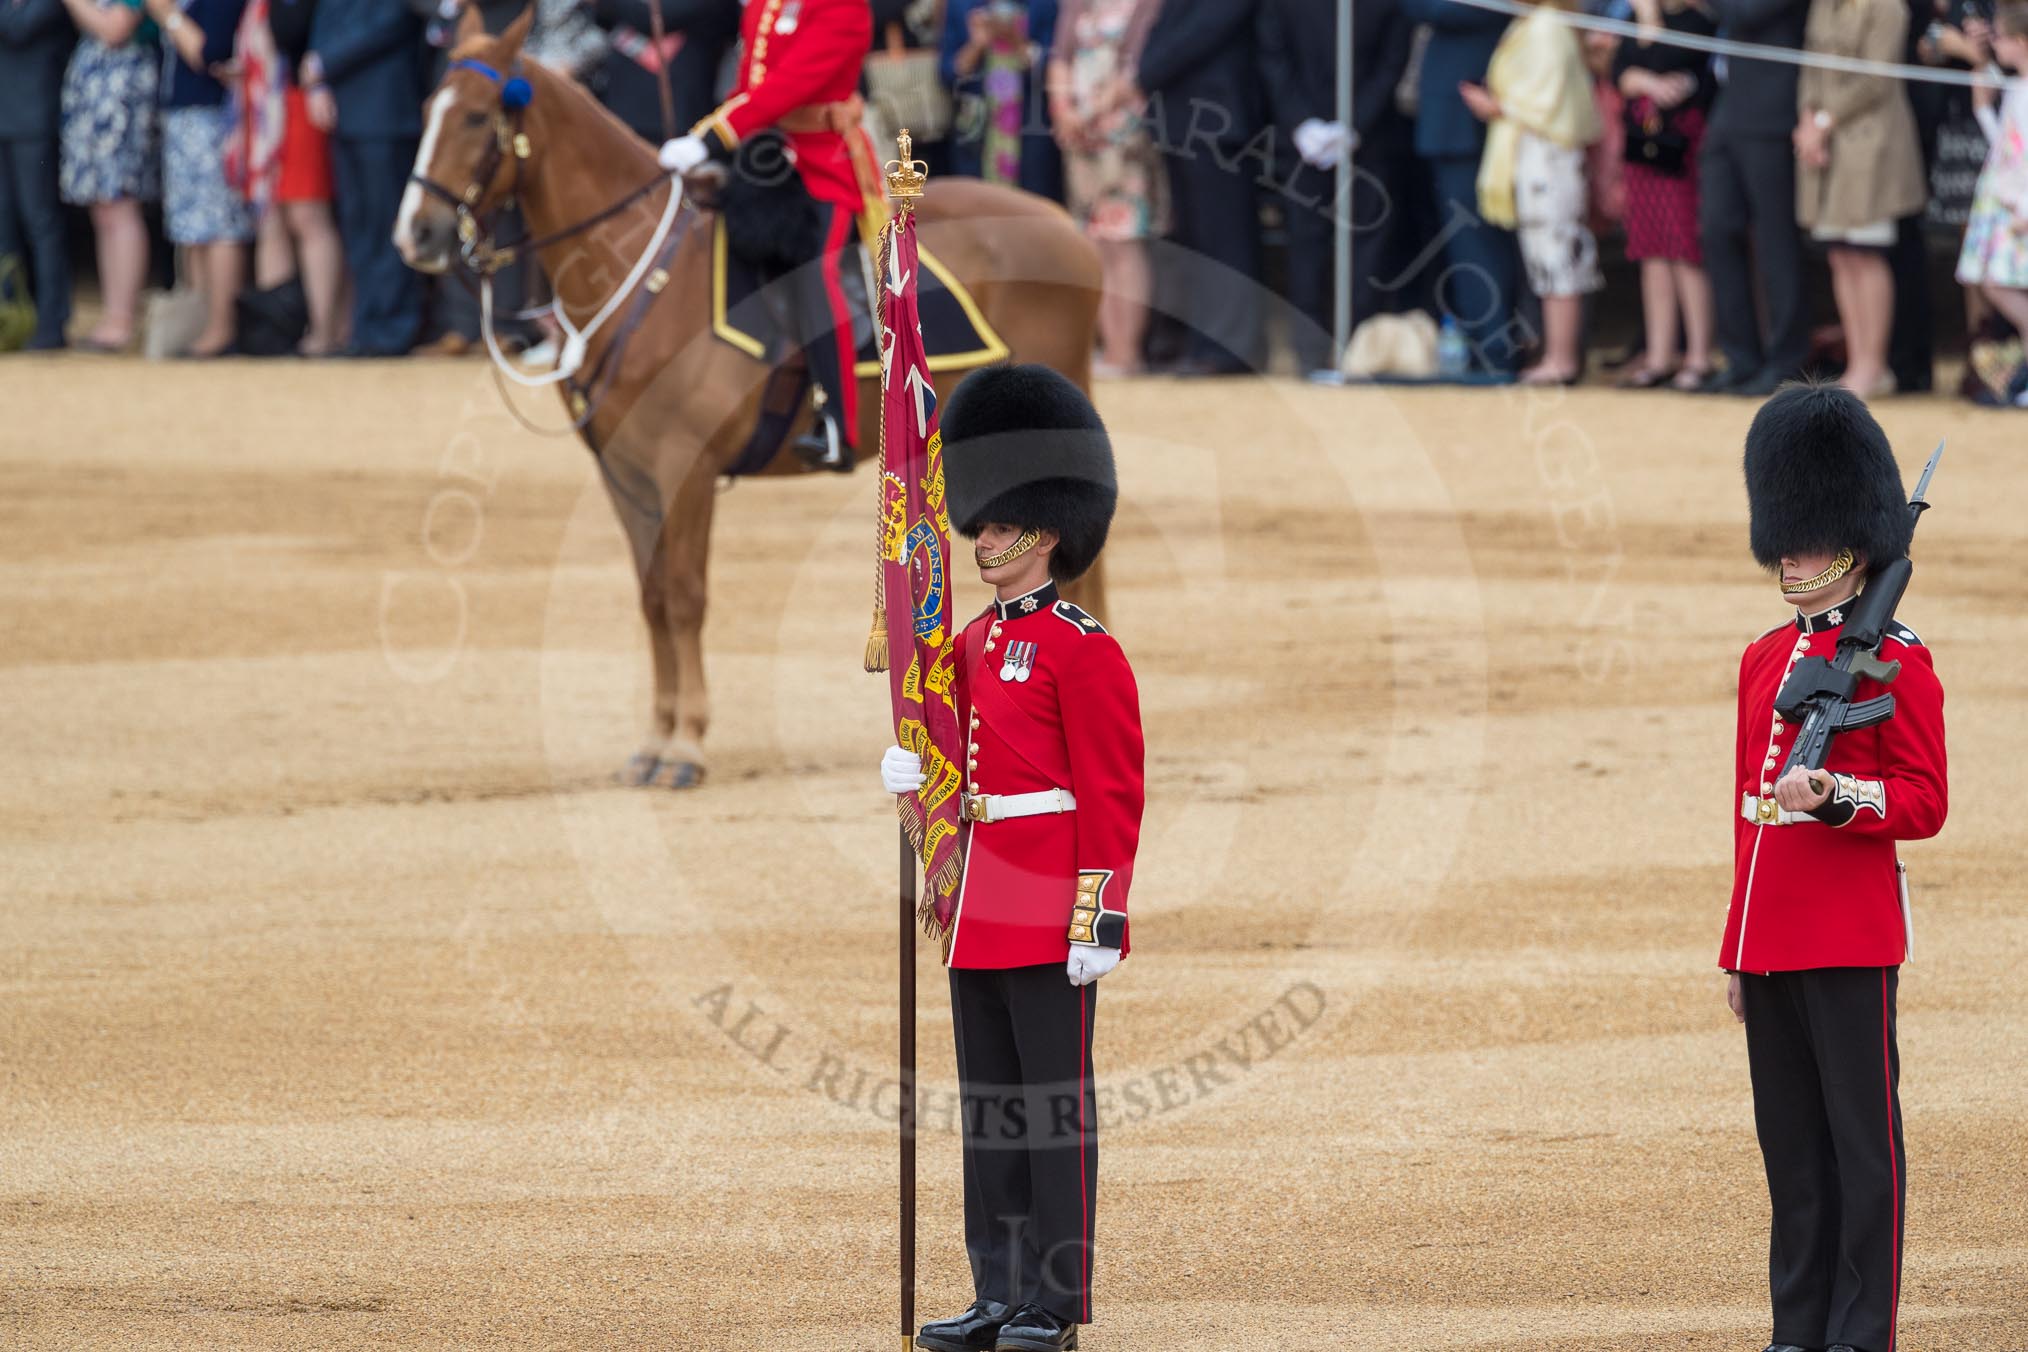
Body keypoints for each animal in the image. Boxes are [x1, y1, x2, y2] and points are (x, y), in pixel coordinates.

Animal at [389, 10, 1103, 786]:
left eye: (477, 116)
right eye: (427, 109)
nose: (415, 234)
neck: (644, 277)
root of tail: (1066, 225)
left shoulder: (684, 469)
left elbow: (685, 598)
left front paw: (686, 745)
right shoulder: (626, 475)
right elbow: (652, 599)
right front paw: (655, 739)